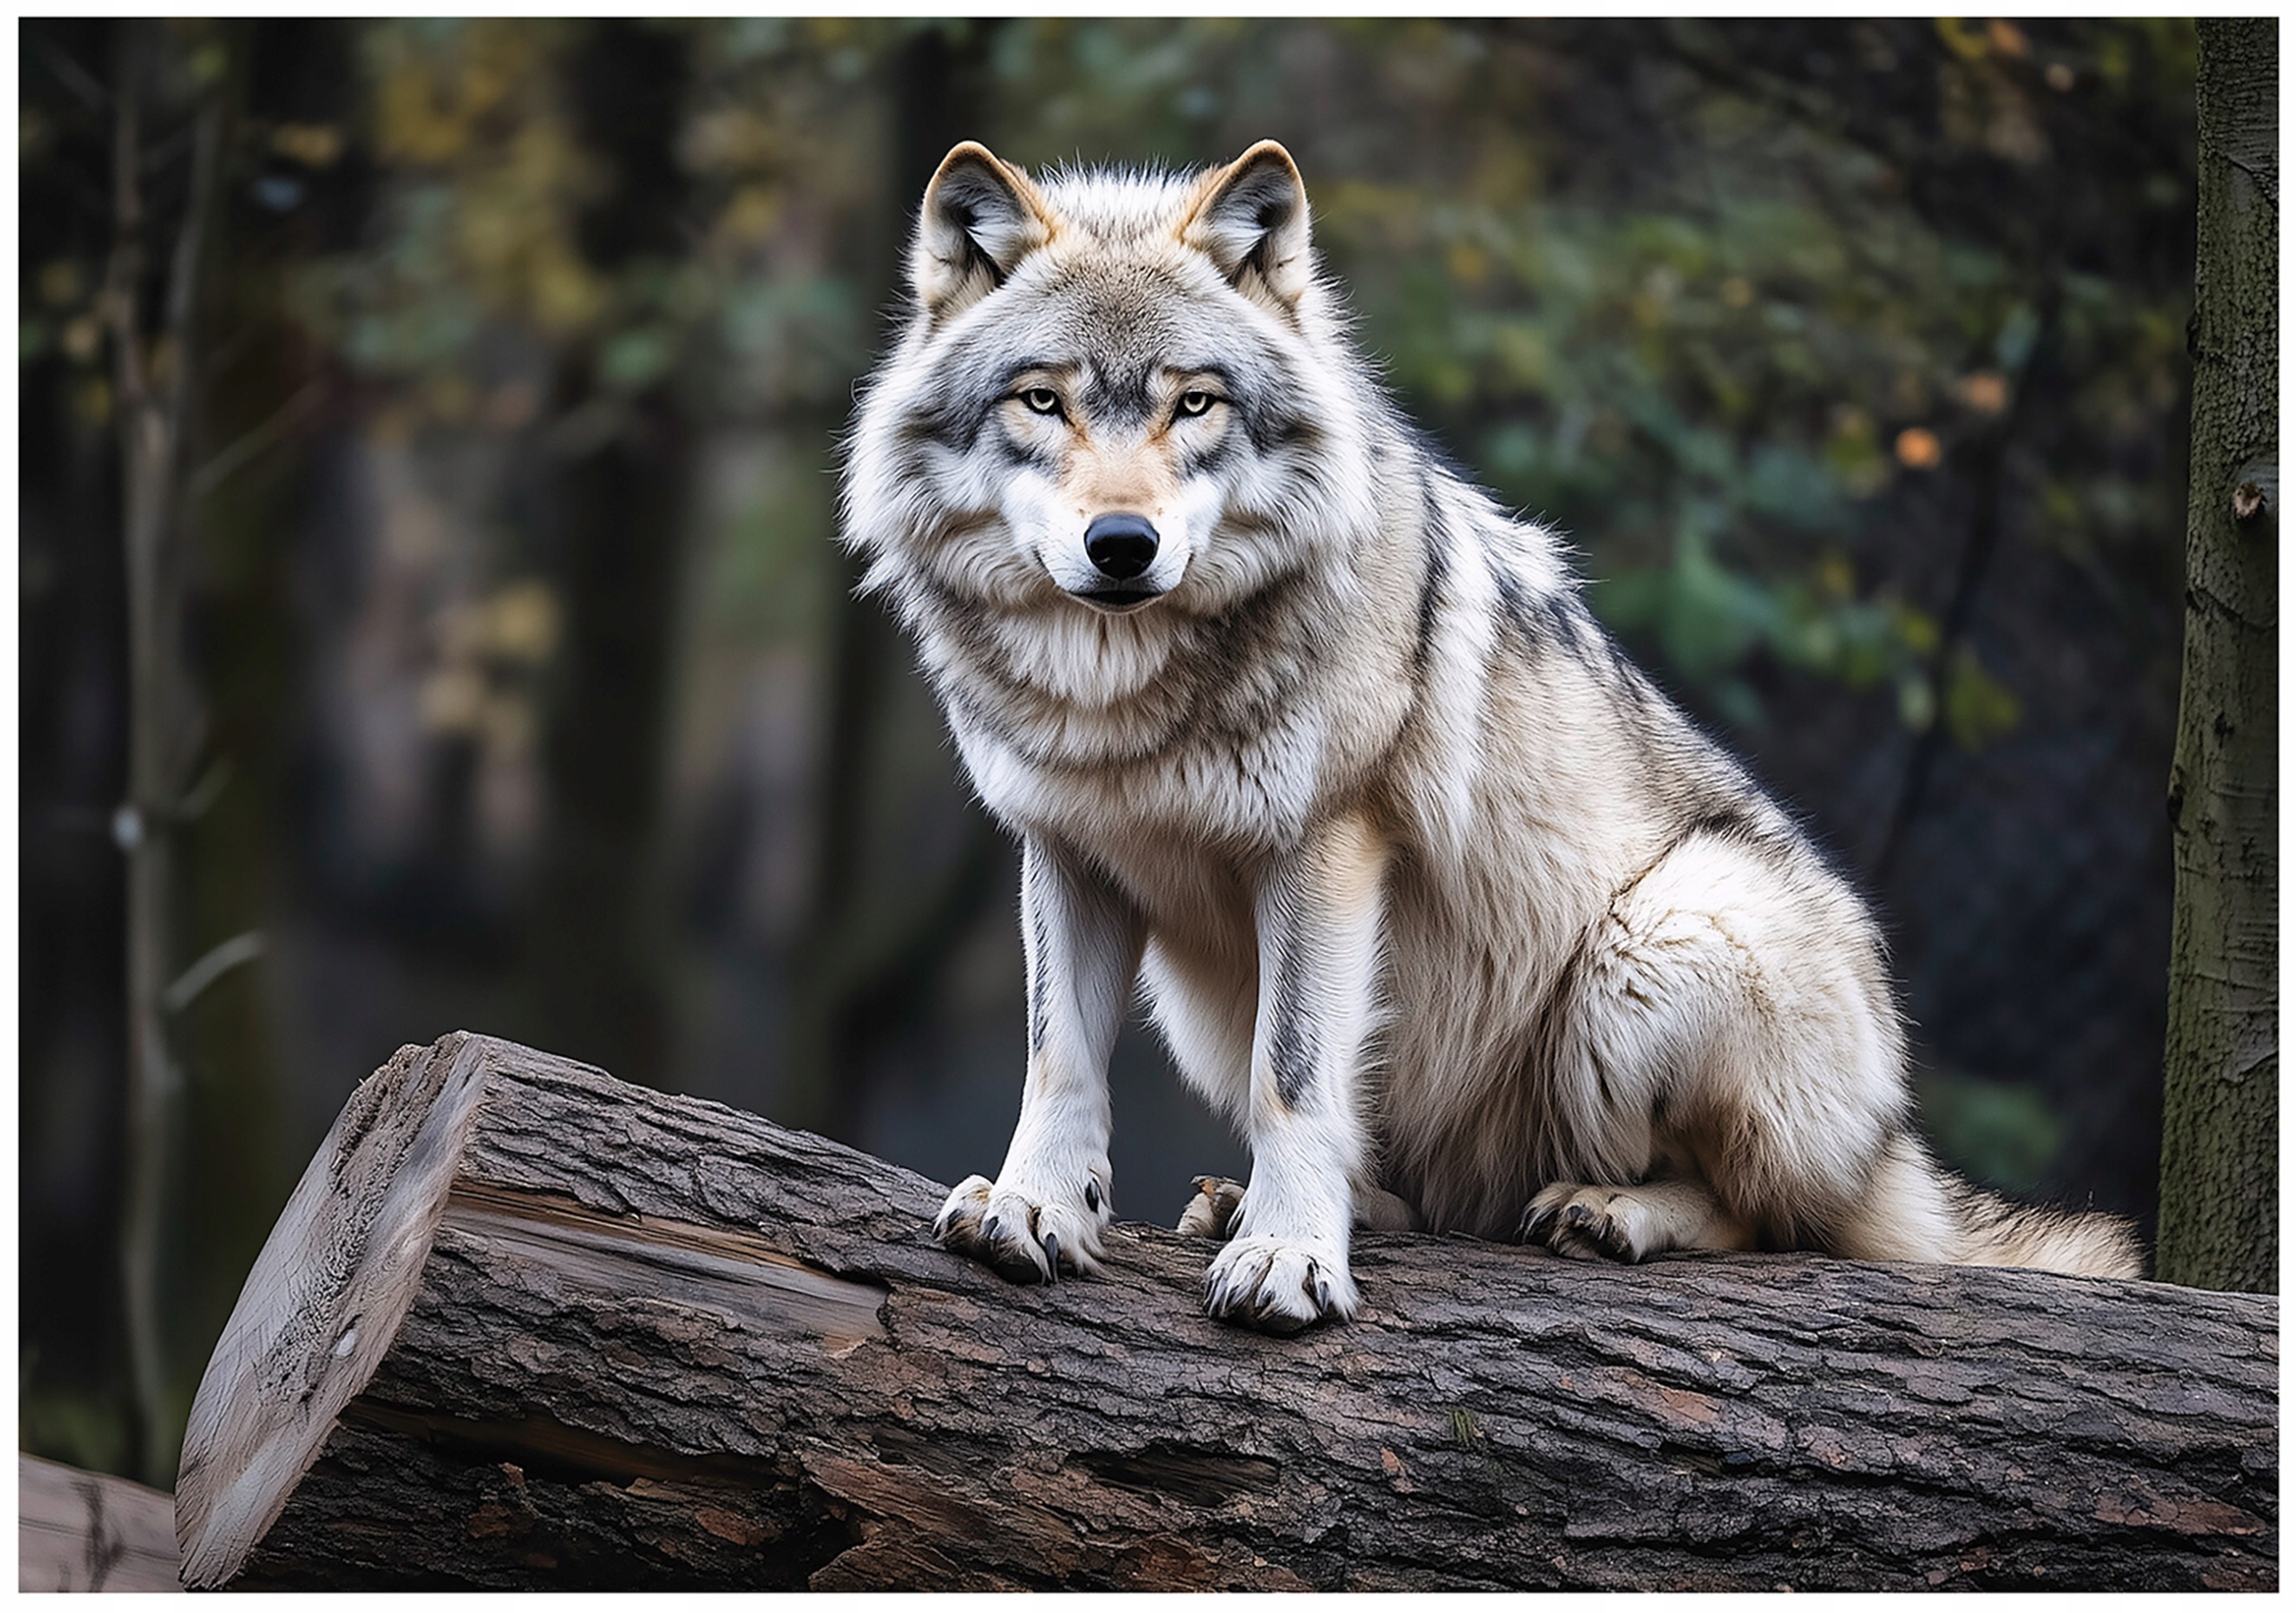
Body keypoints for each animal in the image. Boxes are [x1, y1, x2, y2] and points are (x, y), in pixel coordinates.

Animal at [839, 138, 2142, 1333]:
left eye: (1192, 402)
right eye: (1042, 399)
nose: (1122, 546)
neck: (1119, 703)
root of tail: (1894, 1143)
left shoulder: (1325, 846)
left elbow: (1292, 1078)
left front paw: (1290, 1261)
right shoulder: (1067, 848)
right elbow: (1058, 1060)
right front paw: (1037, 1208)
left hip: (1655, 943)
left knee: (1783, 1224)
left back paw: (1607, 1212)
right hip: (1207, 1005)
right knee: (1423, 1188)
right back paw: (1295, 1204)